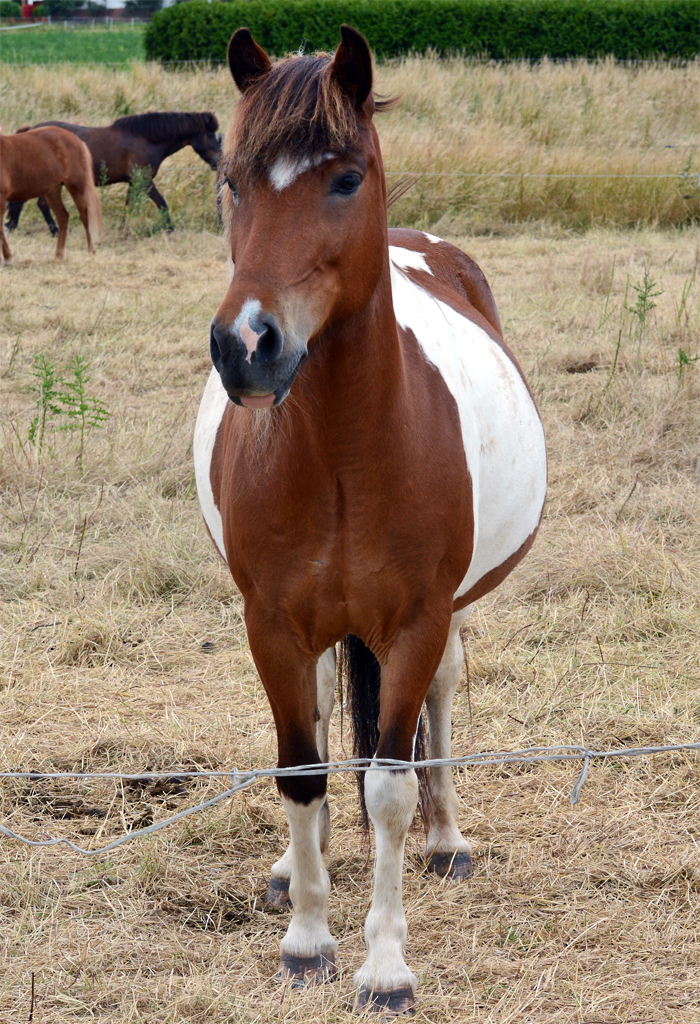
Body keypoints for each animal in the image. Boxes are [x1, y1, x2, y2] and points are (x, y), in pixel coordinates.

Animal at [0, 124, 102, 264]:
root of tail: (77, 140)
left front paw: (8, 258)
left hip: (77, 186)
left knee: (84, 215)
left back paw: (91, 250)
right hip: (53, 191)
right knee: (63, 217)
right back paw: (59, 255)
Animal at [192, 25, 548, 1015]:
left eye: (345, 178)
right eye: (233, 179)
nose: (248, 345)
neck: (346, 455)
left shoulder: (417, 621)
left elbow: (387, 787)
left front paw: (385, 966)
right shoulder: (270, 623)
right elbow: (301, 771)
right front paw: (307, 939)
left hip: (446, 619)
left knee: (439, 702)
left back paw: (446, 839)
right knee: (316, 714)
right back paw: (294, 868)